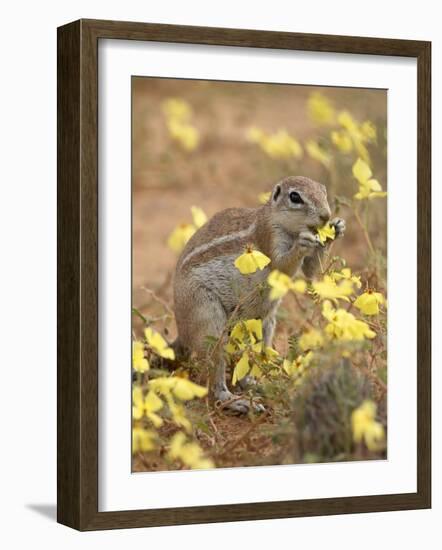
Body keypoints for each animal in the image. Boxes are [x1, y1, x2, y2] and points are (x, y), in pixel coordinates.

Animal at [171, 177, 344, 414]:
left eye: (323, 190)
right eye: (295, 197)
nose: (326, 216)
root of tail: (182, 330)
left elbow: (311, 272)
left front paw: (336, 228)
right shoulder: (269, 236)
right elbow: (281, 265)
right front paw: (302, 243)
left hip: (264, 325)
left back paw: (256, 384)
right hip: (208, 321)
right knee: (215, 383)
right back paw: (236, 400)